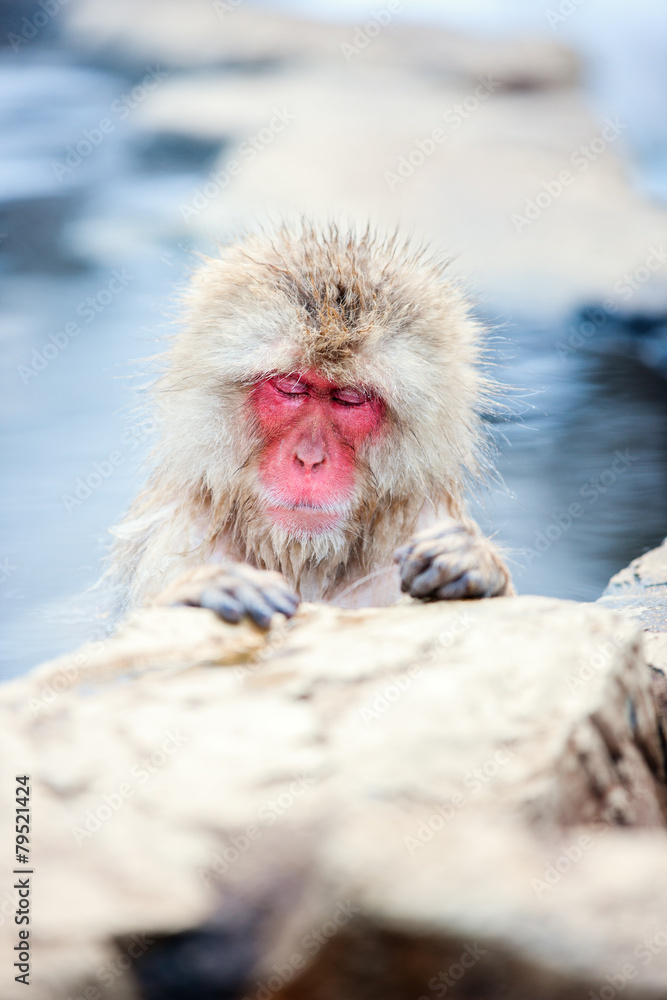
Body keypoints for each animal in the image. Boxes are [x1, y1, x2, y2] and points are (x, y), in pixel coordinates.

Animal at [108, 222, 513, 628]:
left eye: (350, 398)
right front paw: (205, 591)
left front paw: (473, 563)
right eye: (291, 386)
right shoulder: (176, 539)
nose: (309, 459)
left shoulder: (424, 522)